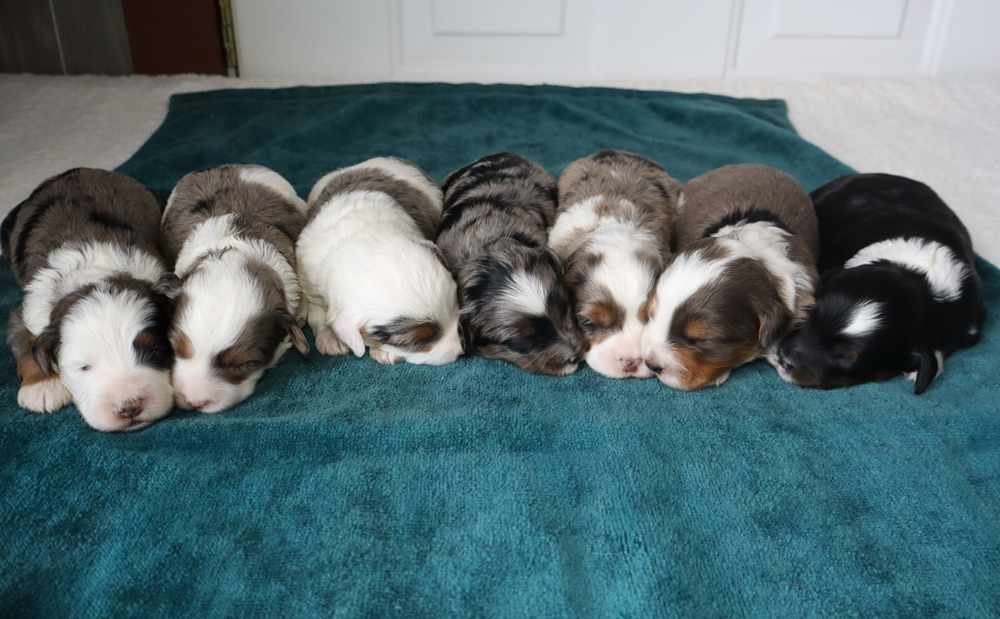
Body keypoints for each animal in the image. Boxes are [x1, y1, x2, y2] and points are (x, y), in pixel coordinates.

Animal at [2, 168, 174, 432]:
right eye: (84, 367)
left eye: (154, 351)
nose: (129, 406)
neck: (95, 272)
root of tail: (77, 171)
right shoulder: (27, 310)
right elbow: (24, 341)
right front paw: (42, 387)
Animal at [297, 157, 463, 366]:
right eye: (415, 342)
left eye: (456, 304)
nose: (463, 348)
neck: (358, 238)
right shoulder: (308, 278)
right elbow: (318, 313)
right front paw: (329, 338)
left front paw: (385, 353)